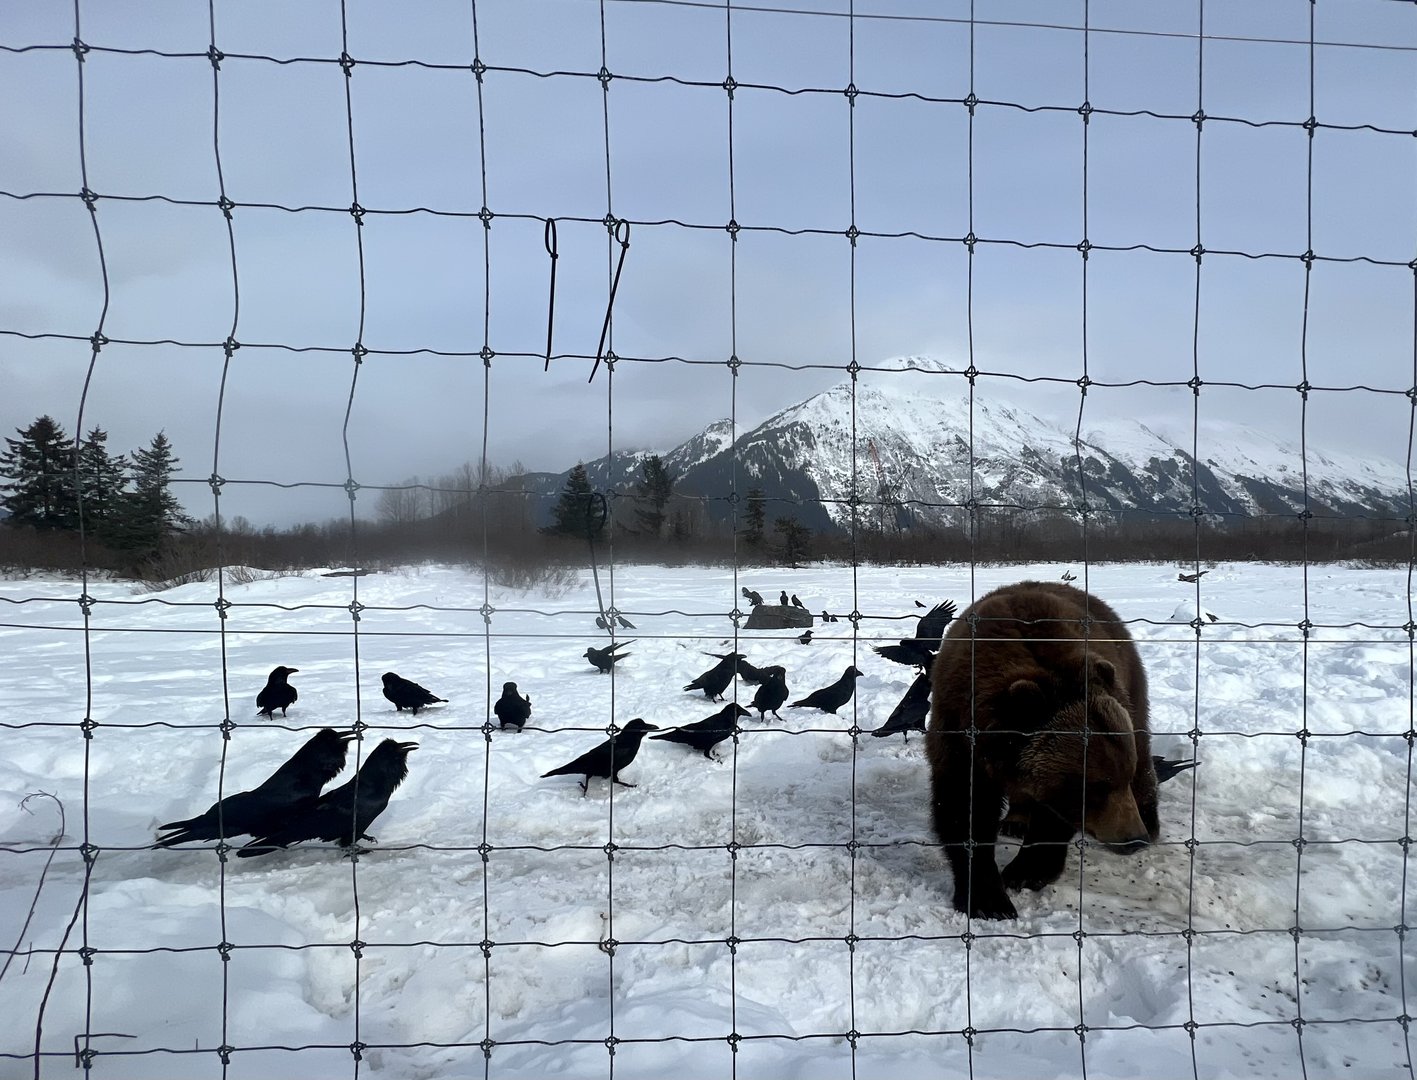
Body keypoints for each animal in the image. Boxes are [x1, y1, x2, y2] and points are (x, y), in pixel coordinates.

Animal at [926, 581, 1158, 920]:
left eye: (1120, 778)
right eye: (1096, 786)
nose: (1132, 838)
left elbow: (1052, 819)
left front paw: (1025, 872)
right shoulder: (958, 733)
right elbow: (963, 807)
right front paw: (989, 900)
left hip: (1128, 684)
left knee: (1142, 740)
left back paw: (1150, 819)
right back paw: (1015, 819)